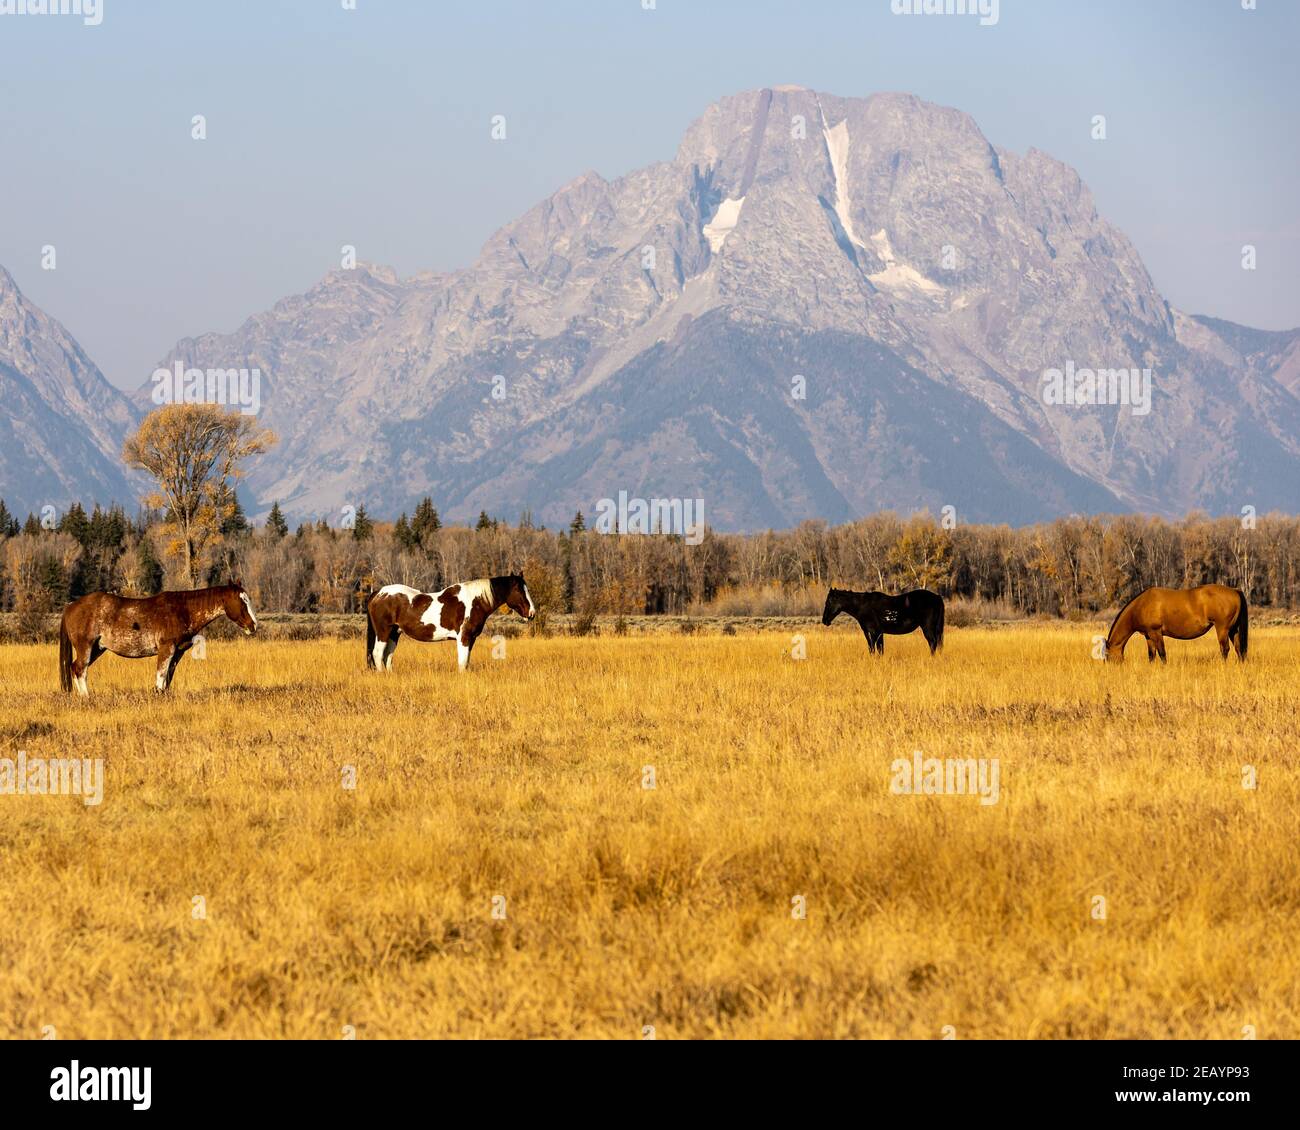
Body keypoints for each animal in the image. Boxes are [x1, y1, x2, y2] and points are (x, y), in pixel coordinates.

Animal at [59, 582, 258, 696]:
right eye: (242, 602)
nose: (254, 625)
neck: (183, 610)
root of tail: (70, 606)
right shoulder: (166, 649)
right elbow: (161, 676)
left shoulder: (177, 653)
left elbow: (167, 678)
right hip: (86, 647)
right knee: (79, 669)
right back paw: (86, 697)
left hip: (97, 648)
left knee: (75, 668)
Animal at [364, 572, 535, 670]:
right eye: (519, 590)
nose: (532, 613)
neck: (475, 601)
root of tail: (378, 593)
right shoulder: (463, 638)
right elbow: (462, 662)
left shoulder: (471, 639)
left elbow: (466, 662)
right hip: (383, 632)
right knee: (377, 654)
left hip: (394, 633)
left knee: (387, 657)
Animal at [1107, 582, 1248, 660]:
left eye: (1107, 656)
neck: (1142, 605)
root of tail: (1235, 590)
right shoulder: (1148, 635)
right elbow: (1151, 655)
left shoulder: (1156, 633)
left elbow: (1162, 653)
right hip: (1233, 630)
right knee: (1238, 649)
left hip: (1222, 629)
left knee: (1225, 649)